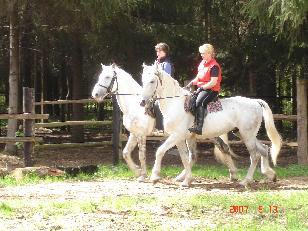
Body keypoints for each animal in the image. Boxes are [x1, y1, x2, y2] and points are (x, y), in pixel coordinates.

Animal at [140, 62, 282, 186]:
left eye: (152, 81)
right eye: (142, 80)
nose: (142, 102)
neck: (176, 104)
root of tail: (255, 102)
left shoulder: (177, 135)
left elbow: (160, 151)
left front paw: (155, 176)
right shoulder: (182, 138)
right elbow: (186, 158)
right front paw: (186, 180)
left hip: (247, 135)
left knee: (255, 155)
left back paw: (245, 181)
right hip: (243, 134)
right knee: (264, 149)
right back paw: (270, 175)